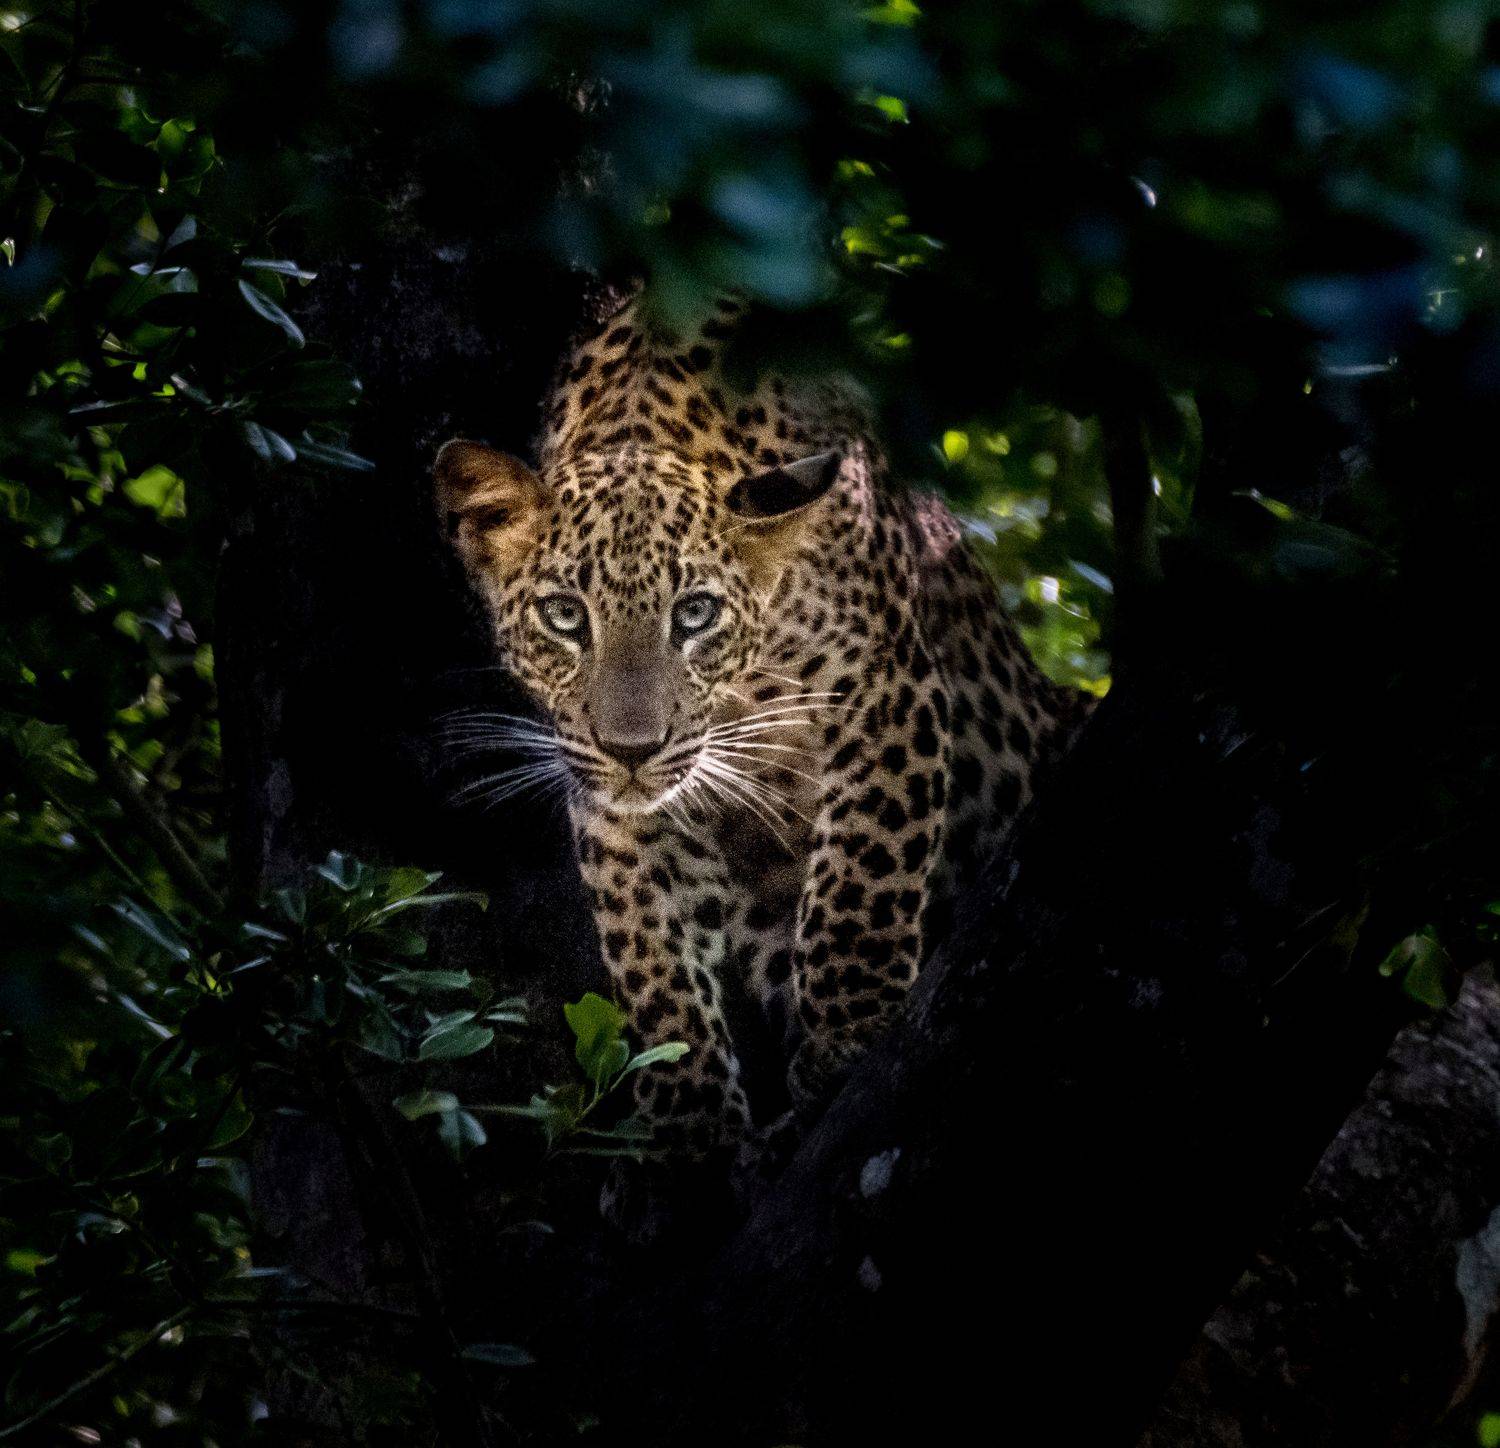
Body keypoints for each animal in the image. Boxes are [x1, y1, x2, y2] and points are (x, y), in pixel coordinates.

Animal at [434, 293, 1092, 1186]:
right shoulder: (604, 789)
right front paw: (687, 1139)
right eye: (565, 616)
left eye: (695, 614)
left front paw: (849, 1035)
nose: (633, 749)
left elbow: (863, 872)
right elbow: (649, 954)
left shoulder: (885, 688)